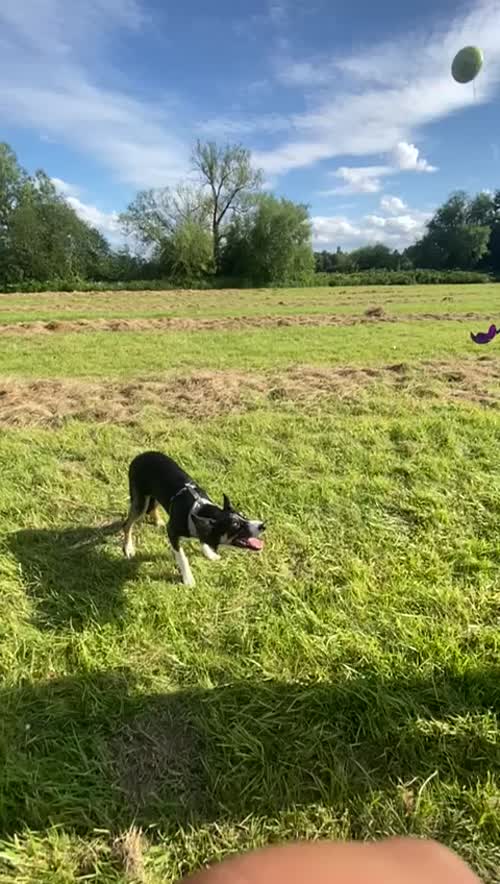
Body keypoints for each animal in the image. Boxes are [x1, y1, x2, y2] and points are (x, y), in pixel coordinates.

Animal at [121, 456, 266, 588]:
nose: (263, 526)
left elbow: (203, 540)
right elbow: (182, 557)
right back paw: (128, 547)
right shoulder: (172, 532)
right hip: (140, 502)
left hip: (156, 495)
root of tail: (139, 456)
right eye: (235, 525)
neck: (198, 509)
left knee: (152, 509)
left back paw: (158, 521)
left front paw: (210, 554)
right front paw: (188, 579)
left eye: (244, 516)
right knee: (127, 524)